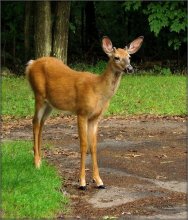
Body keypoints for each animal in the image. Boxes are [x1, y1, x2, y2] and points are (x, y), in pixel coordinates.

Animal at [26, 35, 144, 189]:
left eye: (129, 56)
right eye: (116, 57)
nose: (130, 68)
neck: (98, 91)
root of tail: (31, 64)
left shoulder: (95, 117)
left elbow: (93, 146)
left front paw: (99, 181)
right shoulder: (81, 112)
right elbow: (83, 145)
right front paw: (82, 182)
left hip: (49, 104)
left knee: (41, 124)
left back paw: (40, 159)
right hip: (39, 96)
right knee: (35, 122)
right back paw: (37, 163)